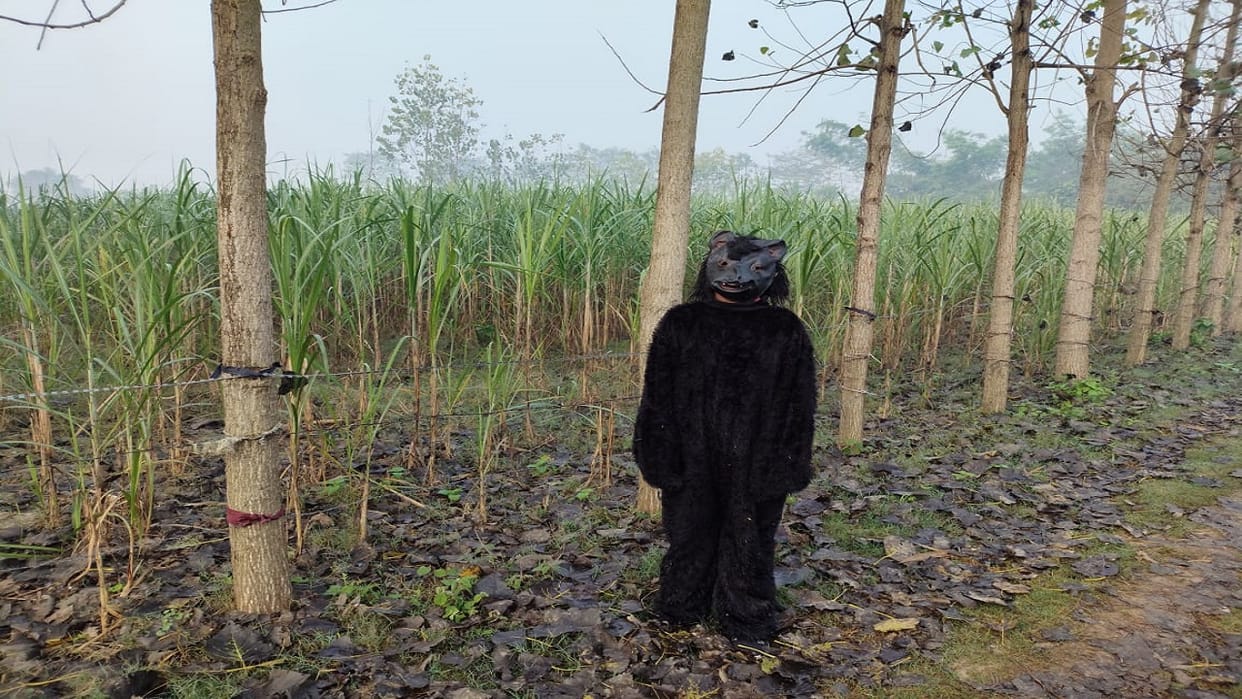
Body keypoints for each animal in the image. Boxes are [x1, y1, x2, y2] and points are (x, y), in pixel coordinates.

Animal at [633, 229, 817, 642]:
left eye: (759, 267)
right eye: (723, 262)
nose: (737, 279)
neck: (734, 311)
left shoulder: (798, 350)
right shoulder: (664, 344)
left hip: (752, 485)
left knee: (751, 541)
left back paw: (751, 626)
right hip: (693, 476)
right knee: (690, 532)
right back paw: (677, 613)